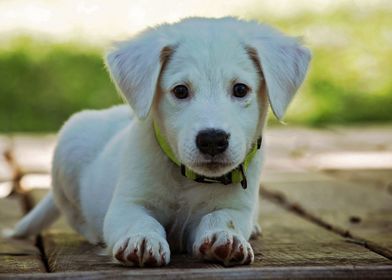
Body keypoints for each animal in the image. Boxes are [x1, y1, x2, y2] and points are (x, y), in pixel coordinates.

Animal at [12, 17, 310, 266]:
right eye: (180, 91)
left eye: (240, 89)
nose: (212, 140)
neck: (186, 178)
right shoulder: (127, 203)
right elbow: (140, 221)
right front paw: (142, 240)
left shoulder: (236, 207)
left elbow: (222, 218)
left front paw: (225, 238)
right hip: (69, 146)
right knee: (75, 216)